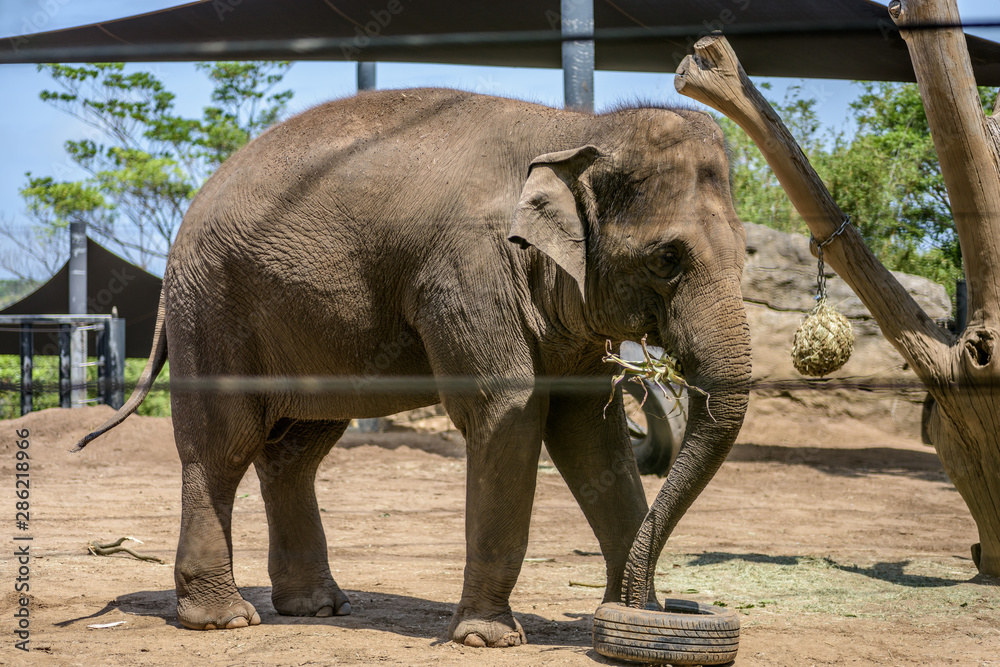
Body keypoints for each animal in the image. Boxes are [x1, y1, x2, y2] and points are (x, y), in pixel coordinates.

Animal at [77, 88, 751, 647]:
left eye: (746, 255)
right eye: (667, 259)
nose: (666, 607)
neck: (576, 128)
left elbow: (587, 429)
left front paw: (635, 616)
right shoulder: (470, 269)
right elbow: (508, 410)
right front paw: (487, 639)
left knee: (295, 451)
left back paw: (317, 607)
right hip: (213, 310)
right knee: (223, 445)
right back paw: (224, 620)